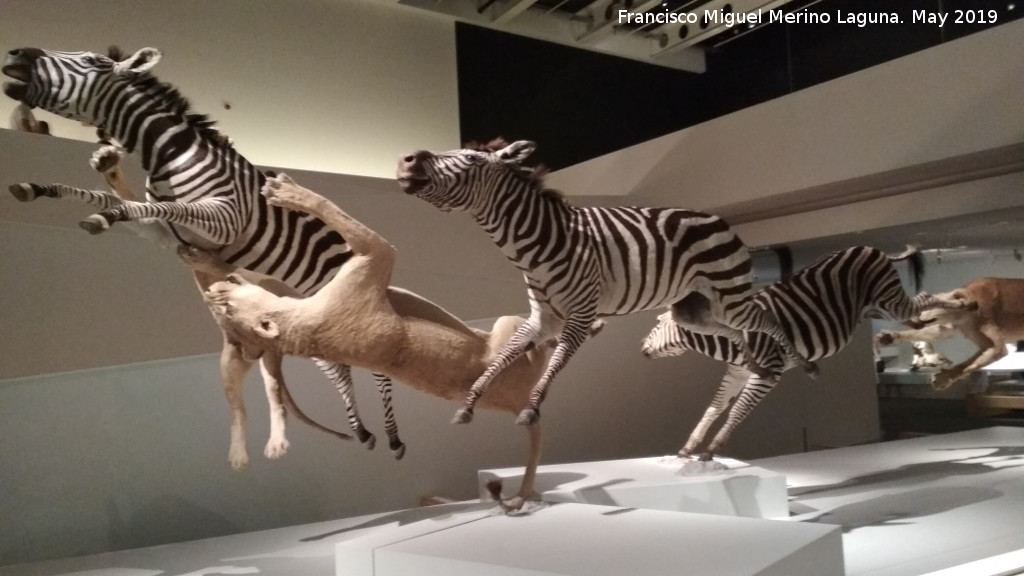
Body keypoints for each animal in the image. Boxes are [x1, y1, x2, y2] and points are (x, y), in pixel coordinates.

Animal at [3, 47, 403, 463]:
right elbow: (112, 198)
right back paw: (362, 432)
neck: (170, 155)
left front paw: (106, 215)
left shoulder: (224, 218)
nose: (15, 53)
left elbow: (162, 205)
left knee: (378, 369)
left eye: (91, 61)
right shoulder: (166, 232)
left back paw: (393, 439)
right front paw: (39, 188)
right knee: (337, 367)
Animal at [395, 138, 811, 426]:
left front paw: (531, 409)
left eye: (471, 159)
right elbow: (504, 356)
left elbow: (557, 360)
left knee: (762, 320)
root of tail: (719, 219)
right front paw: (469, 404)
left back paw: (800, 363)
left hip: (729, 294)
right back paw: (754, 365)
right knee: (735, 332)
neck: (540, 242)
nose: (406, 159)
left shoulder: (580, 313)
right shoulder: (542, 318)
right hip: (695, 309)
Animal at [643, 243, 970, 459]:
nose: (641, 348)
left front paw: (711, 450)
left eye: (657, 322)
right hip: (877, 307)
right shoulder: (736, 373)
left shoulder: (768, 372)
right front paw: (688, 448)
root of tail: (868, 246)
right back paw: (924, 324)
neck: (731, 339)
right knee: (917, 312)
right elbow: (713, 407)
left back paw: (966, 304)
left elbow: (736, 410)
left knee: (924, 298)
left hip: (888, 299)